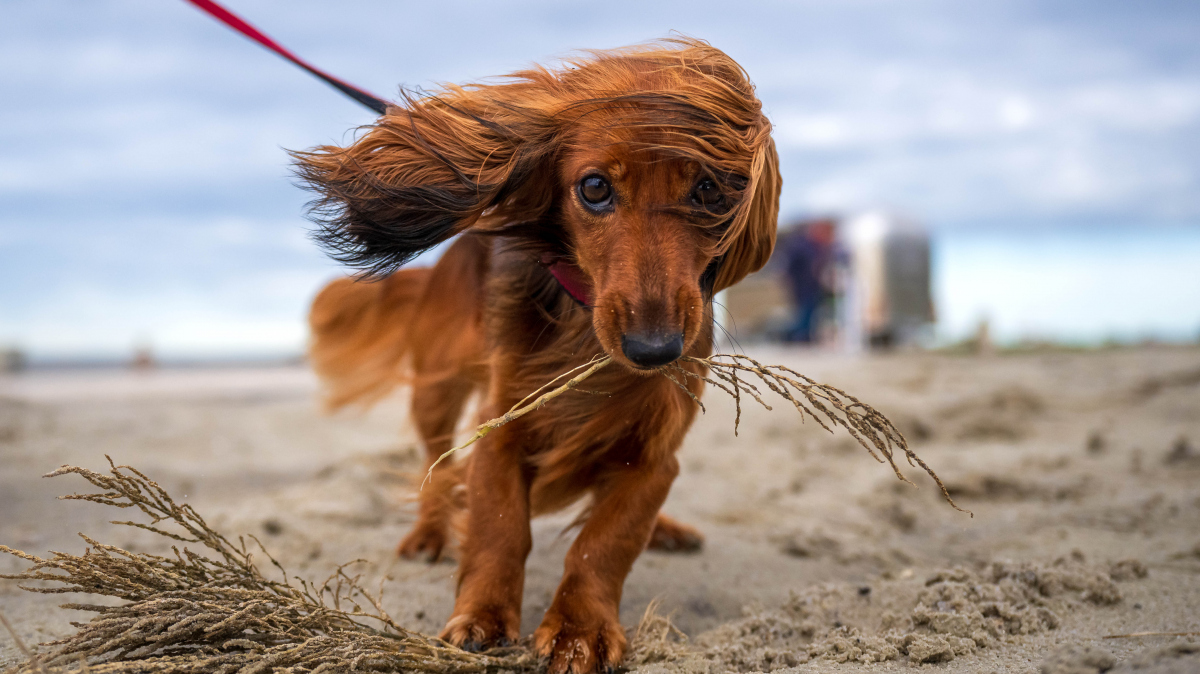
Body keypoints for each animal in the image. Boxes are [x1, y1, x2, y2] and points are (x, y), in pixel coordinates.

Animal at [291, 38, 777, 671]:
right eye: (594, 188)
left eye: (710, 190)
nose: (653, 351)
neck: (584, 332)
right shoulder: (501, 430)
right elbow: (500, 528)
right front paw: (483, 615)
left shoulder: (654, 455)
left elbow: (605, 543)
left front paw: (579, 628)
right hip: (437, 389)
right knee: (436, 467)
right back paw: (429, 532)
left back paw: (664, 528)